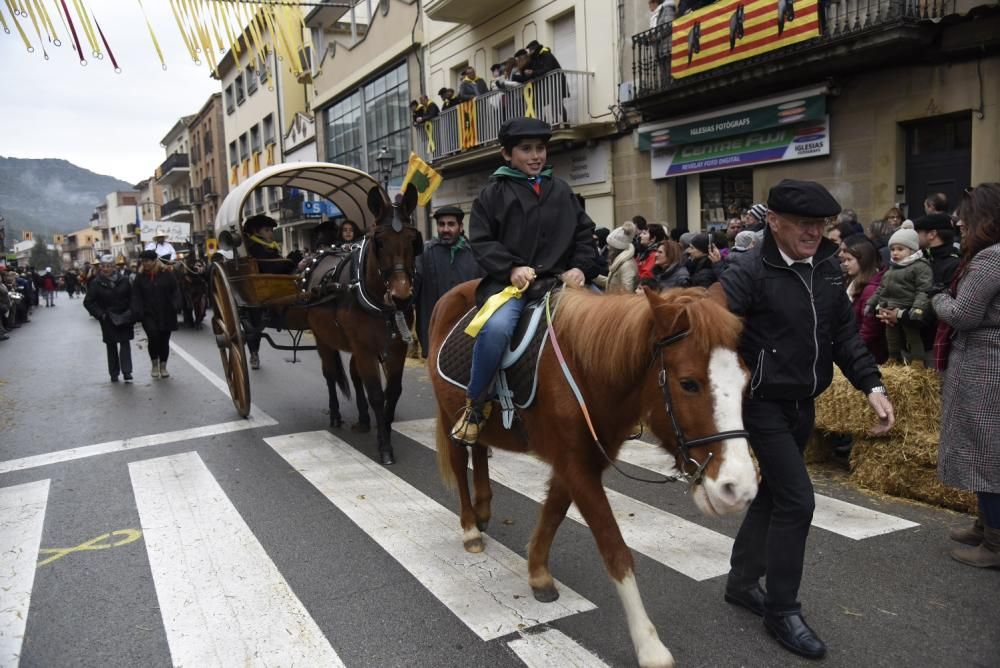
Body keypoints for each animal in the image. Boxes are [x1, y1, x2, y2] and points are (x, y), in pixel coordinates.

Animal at [310, 183, 424, 464]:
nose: (401, 296)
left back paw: (362, 419)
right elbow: (376, 394)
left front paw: (387, 426)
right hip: (322, 338)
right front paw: (385, 446)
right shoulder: (365, 349)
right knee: (330, 374)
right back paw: (336, 415)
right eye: (379, 241)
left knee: (353, 373)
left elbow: (392, 391)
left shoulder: (396, 348)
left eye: (413, 240)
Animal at [424, 284, 756, 668]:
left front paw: (538, 574)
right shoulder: (576, 465)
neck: (582, 372)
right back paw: (470, 528)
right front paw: (649, 645)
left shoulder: (579, 463)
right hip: (450, 417)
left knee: (479, 454)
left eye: (745, 381)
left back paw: (482, 512)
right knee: (460, 464)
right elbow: (614, 548)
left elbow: (553, 513)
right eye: (688, 383)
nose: (739, 489)